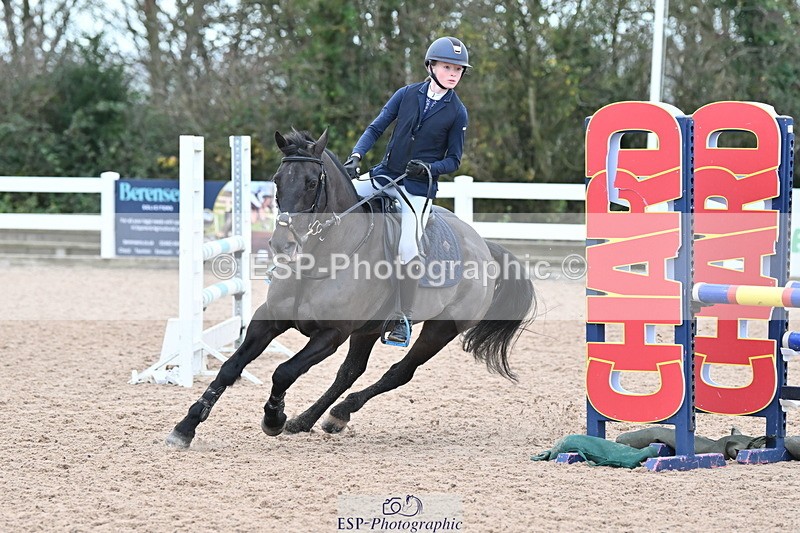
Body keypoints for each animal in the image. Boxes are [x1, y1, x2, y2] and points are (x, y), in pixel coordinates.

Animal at [165, 129, 536, 448]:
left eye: (311, 183)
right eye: (277, 181)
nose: (282, 244)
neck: (320, 258)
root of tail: (483, 244)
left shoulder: (332, 334)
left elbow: (283, 372)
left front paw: (274, 418)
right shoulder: (269, 318)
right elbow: (231, 367)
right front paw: (186, 427)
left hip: (440, 330)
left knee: (399, 373)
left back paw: (338, 413)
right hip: (368, 329)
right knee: (350, 372)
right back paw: (310, 420)